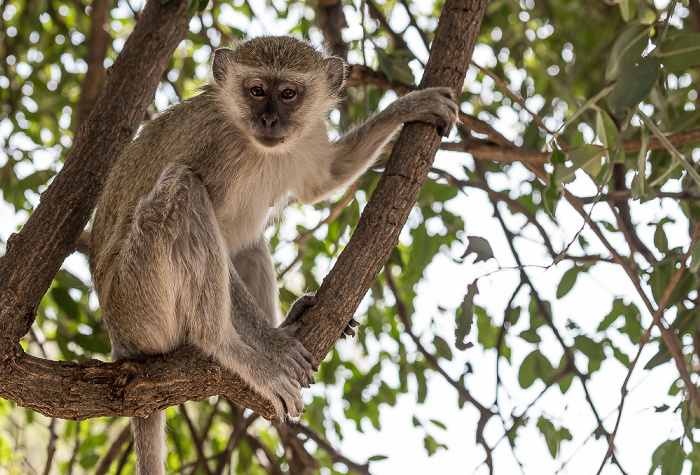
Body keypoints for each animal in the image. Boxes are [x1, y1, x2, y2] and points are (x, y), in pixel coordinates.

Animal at [89, 35, 460, 474]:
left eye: (287, 94)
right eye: (255, 90)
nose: (268, 120)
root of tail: (120, 339)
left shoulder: (309, 135)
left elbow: (326, 178)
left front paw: (411, 105)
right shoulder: (218, 151)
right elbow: (213, 224)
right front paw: (274, 346)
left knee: (249, 244)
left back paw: (286, 322)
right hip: (139, 301)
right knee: (184, 190)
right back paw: (229, 347)